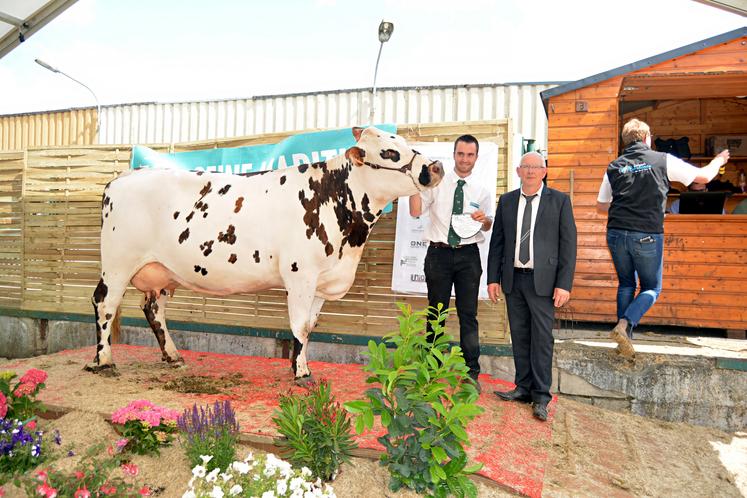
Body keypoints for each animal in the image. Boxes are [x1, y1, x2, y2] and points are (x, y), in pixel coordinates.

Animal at [91, 127, 448, 382]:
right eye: (390, 152)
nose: (436, 166)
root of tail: (123, 178)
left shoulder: (322, 280)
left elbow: (310, 326)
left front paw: (299, 364)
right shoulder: (301, 275)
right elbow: (300, 325)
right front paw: (301, 373)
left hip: (163, 271)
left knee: (153, 309)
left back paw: (172, 356)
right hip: (117, 264)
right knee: (104, 303)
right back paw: (103, 361)